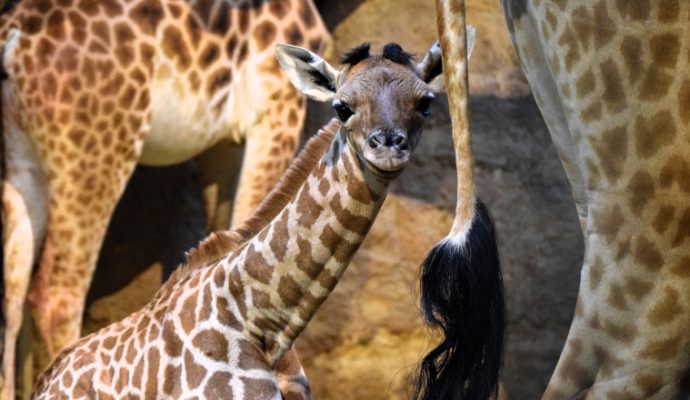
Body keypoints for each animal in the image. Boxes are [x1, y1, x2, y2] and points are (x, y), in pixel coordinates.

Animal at [0, 0, 328, 396]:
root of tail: (13, 40)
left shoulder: (222, 141)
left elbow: (231, 232)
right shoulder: (277, 105)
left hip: (22, 159)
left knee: (12, 291)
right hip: (97, 149)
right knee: (55, 296)